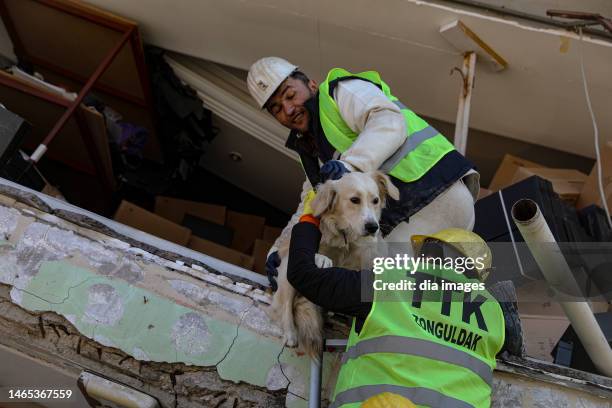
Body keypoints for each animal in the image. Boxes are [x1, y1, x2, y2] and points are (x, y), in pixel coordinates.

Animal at [268, 172, 396, 356]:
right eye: (354, 200)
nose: (373, 227)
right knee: (285, 305)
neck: (344, 237)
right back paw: (291, 333)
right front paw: (322, 258)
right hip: (287, 272)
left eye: (375, 200)